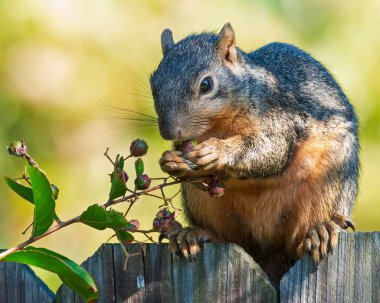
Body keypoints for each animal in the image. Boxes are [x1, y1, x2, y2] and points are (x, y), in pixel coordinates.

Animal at [149, 22, 360, 284]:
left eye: (206, 85)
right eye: (153, 84)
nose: (169, 132)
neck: (221, 123)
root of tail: (269, 252)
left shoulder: (278, 117)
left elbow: (271, 149)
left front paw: (218, 151)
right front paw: (172, 162)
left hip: (329, 184)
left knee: (298, 245)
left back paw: (321, 231)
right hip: (204, 203)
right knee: (230, 239)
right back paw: (193, 235)